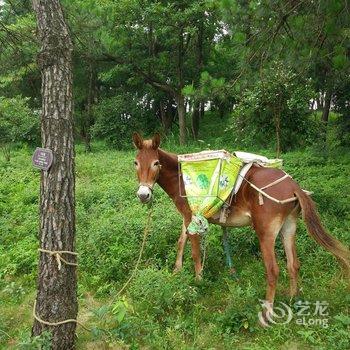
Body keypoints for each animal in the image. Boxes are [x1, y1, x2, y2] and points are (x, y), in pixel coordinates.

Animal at [132, 133, 350, 322]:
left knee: (273, 270)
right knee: (293, 264)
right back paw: (293, 299)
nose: (143, 195)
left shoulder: (191, 216)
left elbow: (194, 252)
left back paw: (267, 313)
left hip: (265, 233)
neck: (182, 178)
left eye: (156, 163)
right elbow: (180, 242)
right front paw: (176, 271)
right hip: (289, 227)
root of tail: (293, 186)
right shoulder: (187, 218)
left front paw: (198, 281)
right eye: (135, 163)